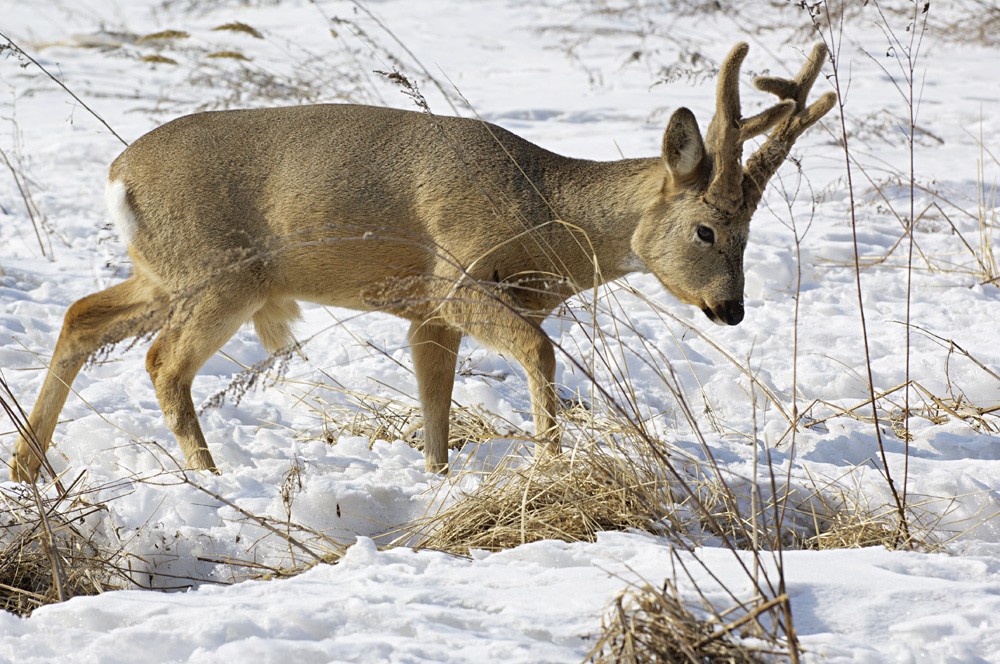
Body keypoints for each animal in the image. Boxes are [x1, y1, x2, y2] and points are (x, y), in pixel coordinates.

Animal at [9, 44, 836, 486]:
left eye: (749, 232)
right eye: (706, 230)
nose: (731, 308)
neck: (542, 212)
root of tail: (119, 174)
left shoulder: (426, 314)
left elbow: (434, 409)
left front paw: (438, 483)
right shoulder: (455, 277)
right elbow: (539, 350)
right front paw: (550, 465)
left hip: (166, 273)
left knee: (80, 317)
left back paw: (26, 469)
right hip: (224, 273)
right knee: (162, 362)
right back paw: (212, 478)